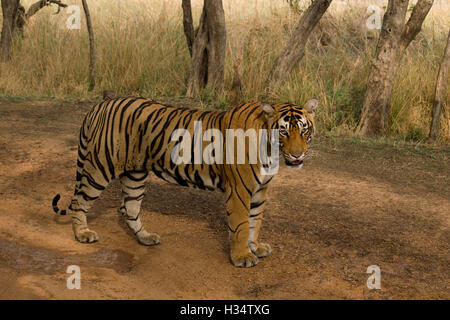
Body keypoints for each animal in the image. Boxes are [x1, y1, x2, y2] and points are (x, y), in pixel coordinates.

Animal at [52, 96, 318, 266]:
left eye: (304, 129)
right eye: (283, 131)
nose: (297, 155)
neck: (270, 149)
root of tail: (99, 105)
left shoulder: (260, 190)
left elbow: (256, 222)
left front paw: (255, 247)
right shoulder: (240, 190)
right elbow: (242, 224)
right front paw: (242, 257)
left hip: (135, 174)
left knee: (130, 208)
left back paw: (146, 237)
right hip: (100, 167)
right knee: (79, 201)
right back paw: (82, 233)